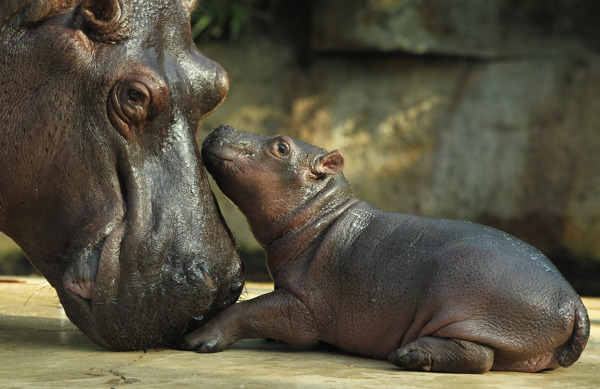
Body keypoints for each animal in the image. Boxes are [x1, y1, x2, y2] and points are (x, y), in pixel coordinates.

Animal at [182, 124, 584, 372]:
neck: (322, 215)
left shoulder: (304, 306)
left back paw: (410, 355)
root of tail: (573, 300)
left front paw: (196, 340)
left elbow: (251, 308)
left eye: (282, 146)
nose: (223, 126)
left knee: (479, 356)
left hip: (465, 296)